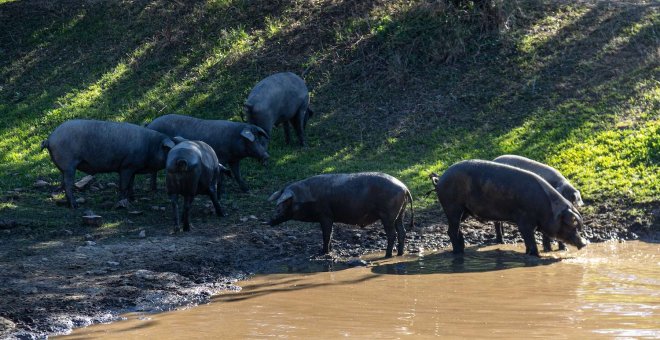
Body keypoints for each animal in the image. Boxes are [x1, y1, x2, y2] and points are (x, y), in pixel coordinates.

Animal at [41, 119, 175, 210]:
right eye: (169, 149)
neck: (150, 146)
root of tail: (50, 139)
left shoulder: (133, 167)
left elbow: (131, 184)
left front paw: (133, 199)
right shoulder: (126, 166)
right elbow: (123, 186)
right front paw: (122, 203)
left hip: (64, 168)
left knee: (64, 183)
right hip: (69, 165)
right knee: (68, 185)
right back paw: (75, 205)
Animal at [266, 173, 412, 258]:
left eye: (282, 205)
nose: (268, 222)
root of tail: (405, 188)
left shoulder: (325, 215)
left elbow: (326, 234)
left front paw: (323, 252)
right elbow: (330, 234)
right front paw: (328, 250)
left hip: (388, 215)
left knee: (392, 234)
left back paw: (387, 256)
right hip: (400, 214)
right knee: (402, 231)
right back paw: (400, 253)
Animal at [428, 161, 588, 256]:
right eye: (571, 224)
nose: (585, 243)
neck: (546, 208)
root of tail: (440, 179)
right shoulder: (524, 221)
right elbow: (529, 239)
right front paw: (535, 255)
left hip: (464, 211)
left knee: (456, 230)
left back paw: (461, 249)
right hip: (452, 206)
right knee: (451, 231)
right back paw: (458, 253)